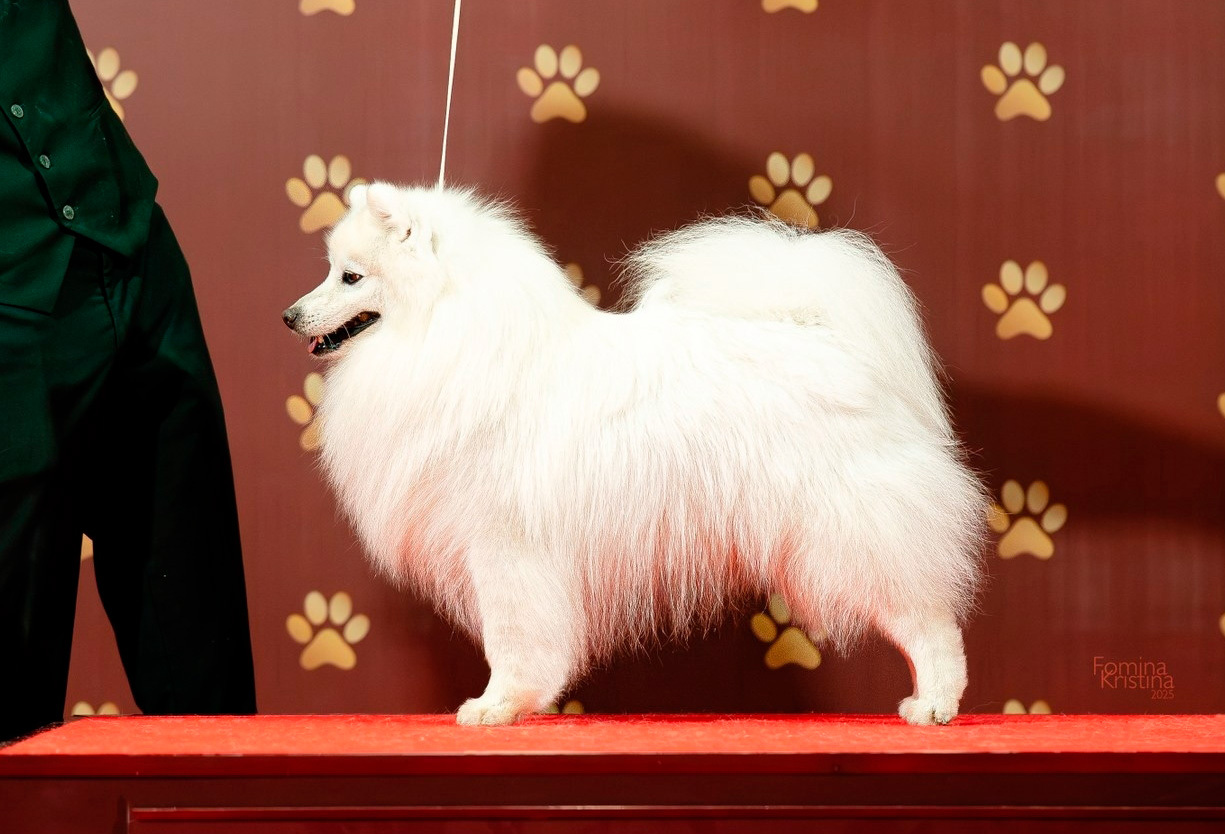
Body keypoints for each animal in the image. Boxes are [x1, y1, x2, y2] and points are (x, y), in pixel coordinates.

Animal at [283, 181, 987, 726]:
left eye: (350, 276)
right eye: (330, 269)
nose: (289, 315)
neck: (444, 335)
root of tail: (830, 341)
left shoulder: (505, 543)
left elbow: (510, 637)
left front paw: (497, 706)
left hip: (850, 532)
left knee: (929, 621)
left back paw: (934, 705)